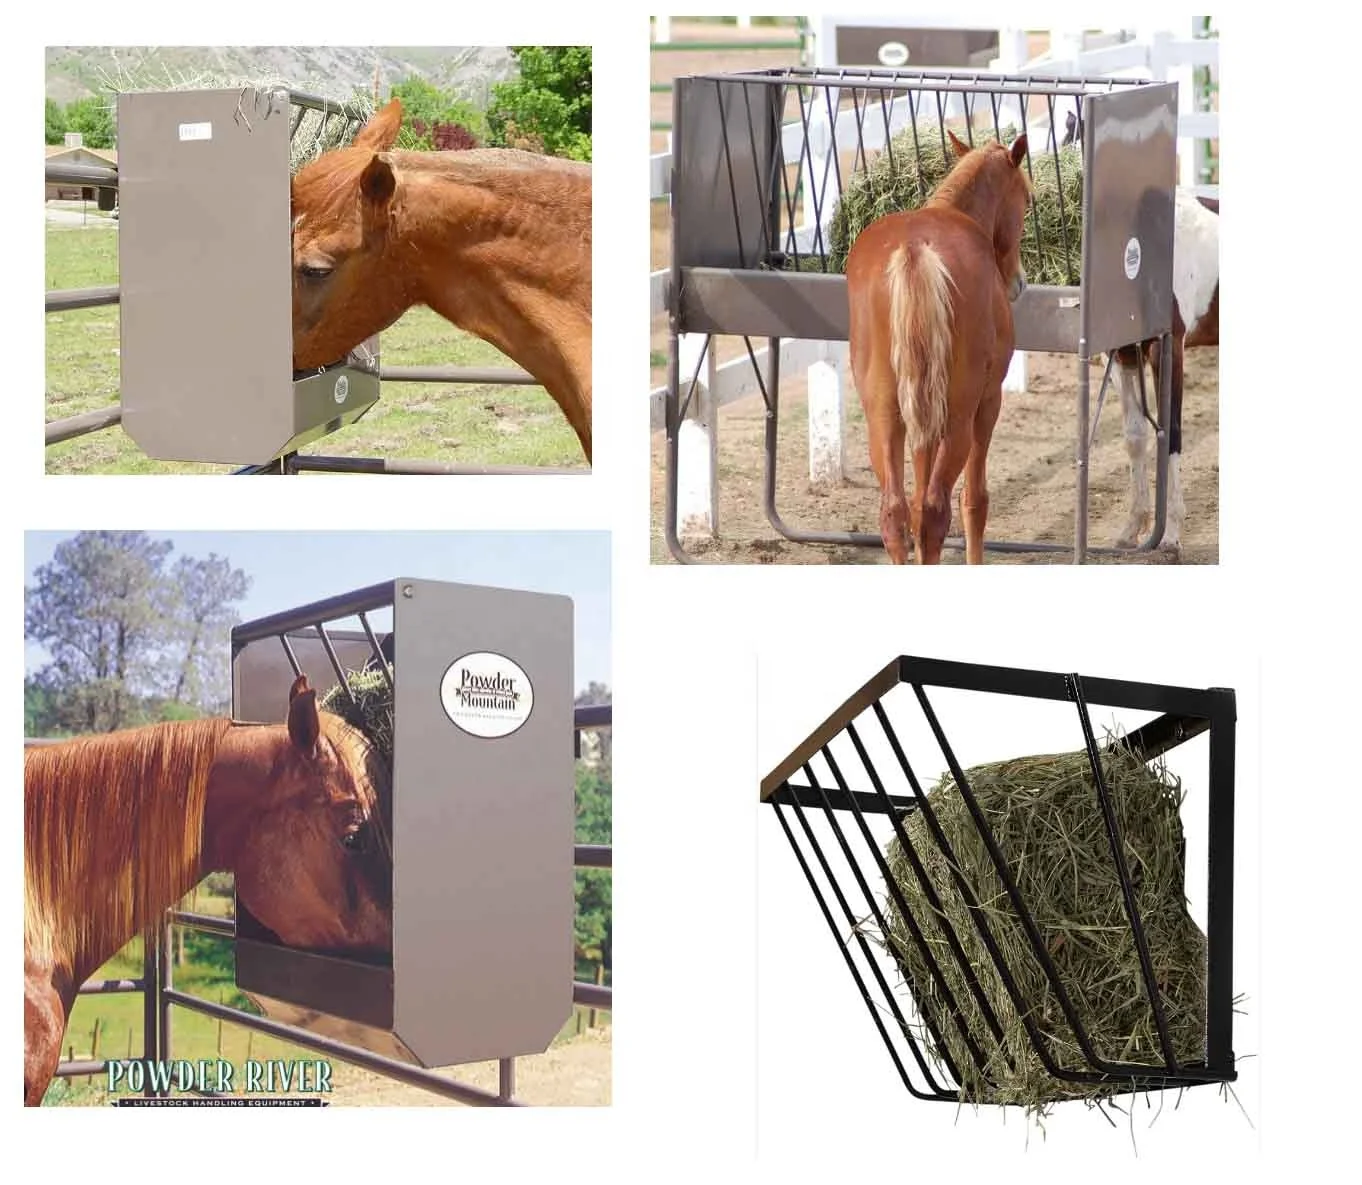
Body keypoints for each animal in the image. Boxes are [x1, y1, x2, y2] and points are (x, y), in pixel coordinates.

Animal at [847, 131, 1033, 564]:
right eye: (1028, 202)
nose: (1018, 282)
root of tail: (916, 250)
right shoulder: (988, 403)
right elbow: (975, 500)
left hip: (885, 415)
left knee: (897, 512)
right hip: (959, 417)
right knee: (935, 510)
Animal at [1111, 190, 1219, 555]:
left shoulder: (1168, 350)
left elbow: (1170, 432)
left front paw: (1170, 535)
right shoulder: (1124, 354)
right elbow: (1135, 437)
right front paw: (1131, 529)